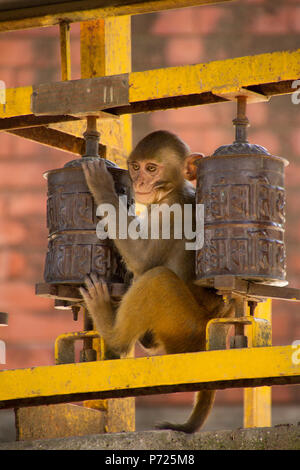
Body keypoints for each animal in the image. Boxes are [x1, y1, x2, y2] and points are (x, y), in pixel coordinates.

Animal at [80, 130, 234, 432]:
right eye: (135, 167)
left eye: (152, 169)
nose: (139, 182)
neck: (170, 192)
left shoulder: (172, 214)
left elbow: (142, 259)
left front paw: (102, 187)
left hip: (184, 329)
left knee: (158, 279)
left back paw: (111, 331)